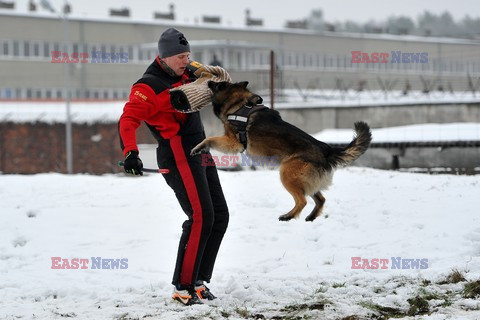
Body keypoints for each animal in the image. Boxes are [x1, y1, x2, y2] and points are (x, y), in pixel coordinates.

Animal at [190, 81, 372, 221]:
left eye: (218, 84)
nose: (208, 81)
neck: (239, 103)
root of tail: (325, 149)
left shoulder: (233, 142)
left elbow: (210, 139)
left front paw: (198, 147)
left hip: (287, 174)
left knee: (302, 201)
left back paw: (288, 216)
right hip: (304, 180)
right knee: (320, 199)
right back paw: (311, 217)